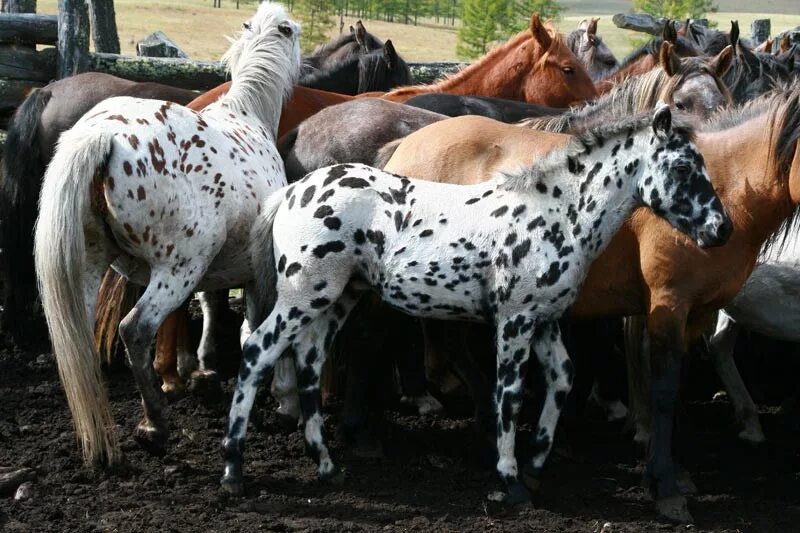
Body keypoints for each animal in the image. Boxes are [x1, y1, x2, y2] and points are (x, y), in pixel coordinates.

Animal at [32, 3, 302, 466]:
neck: (247, 115)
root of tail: (103, 134)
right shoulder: (259, 271)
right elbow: (260, 329)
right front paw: (284, 402)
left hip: (89, 265)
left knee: (80, 338)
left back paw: (100, 436)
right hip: (177, 270)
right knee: (136, 330)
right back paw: (154, 427)